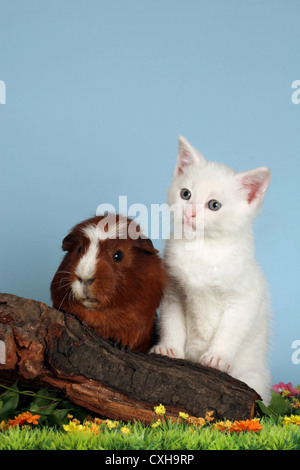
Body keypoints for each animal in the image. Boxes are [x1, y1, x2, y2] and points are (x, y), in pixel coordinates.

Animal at [151, 134, 270, 402]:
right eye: (185, 194)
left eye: (214, 205)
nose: (190, 213)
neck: (202, 249)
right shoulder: (174, 289)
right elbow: (172, 320)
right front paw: (169, 347)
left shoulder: (244, 298)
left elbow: (231, 329)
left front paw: (217, 357)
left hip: (255, 377)